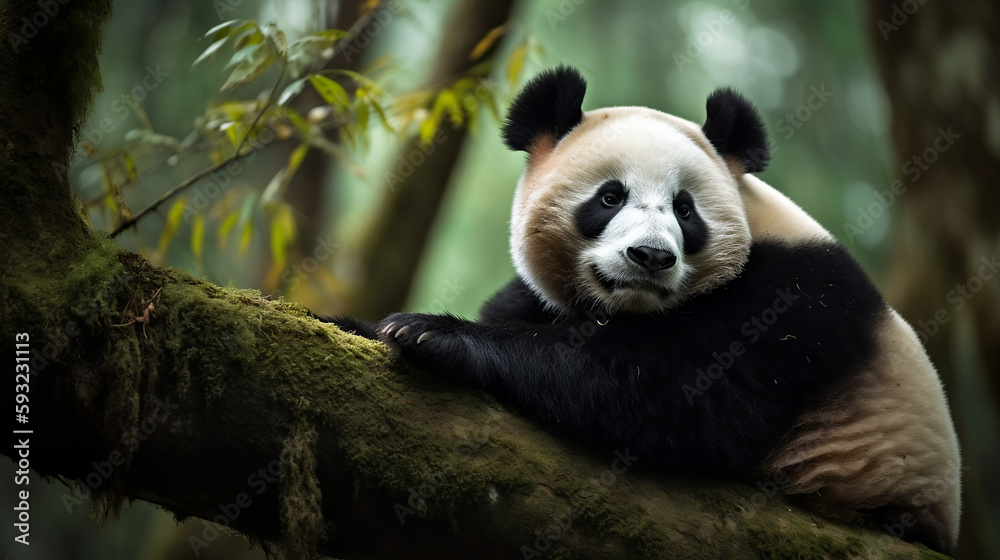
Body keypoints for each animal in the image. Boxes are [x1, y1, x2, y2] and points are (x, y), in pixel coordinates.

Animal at [333, 66, 962, 553]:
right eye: (610, 196)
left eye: (685, 209)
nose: (651, 256)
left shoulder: (793, 302)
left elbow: (673, 397)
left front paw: (427, 333)